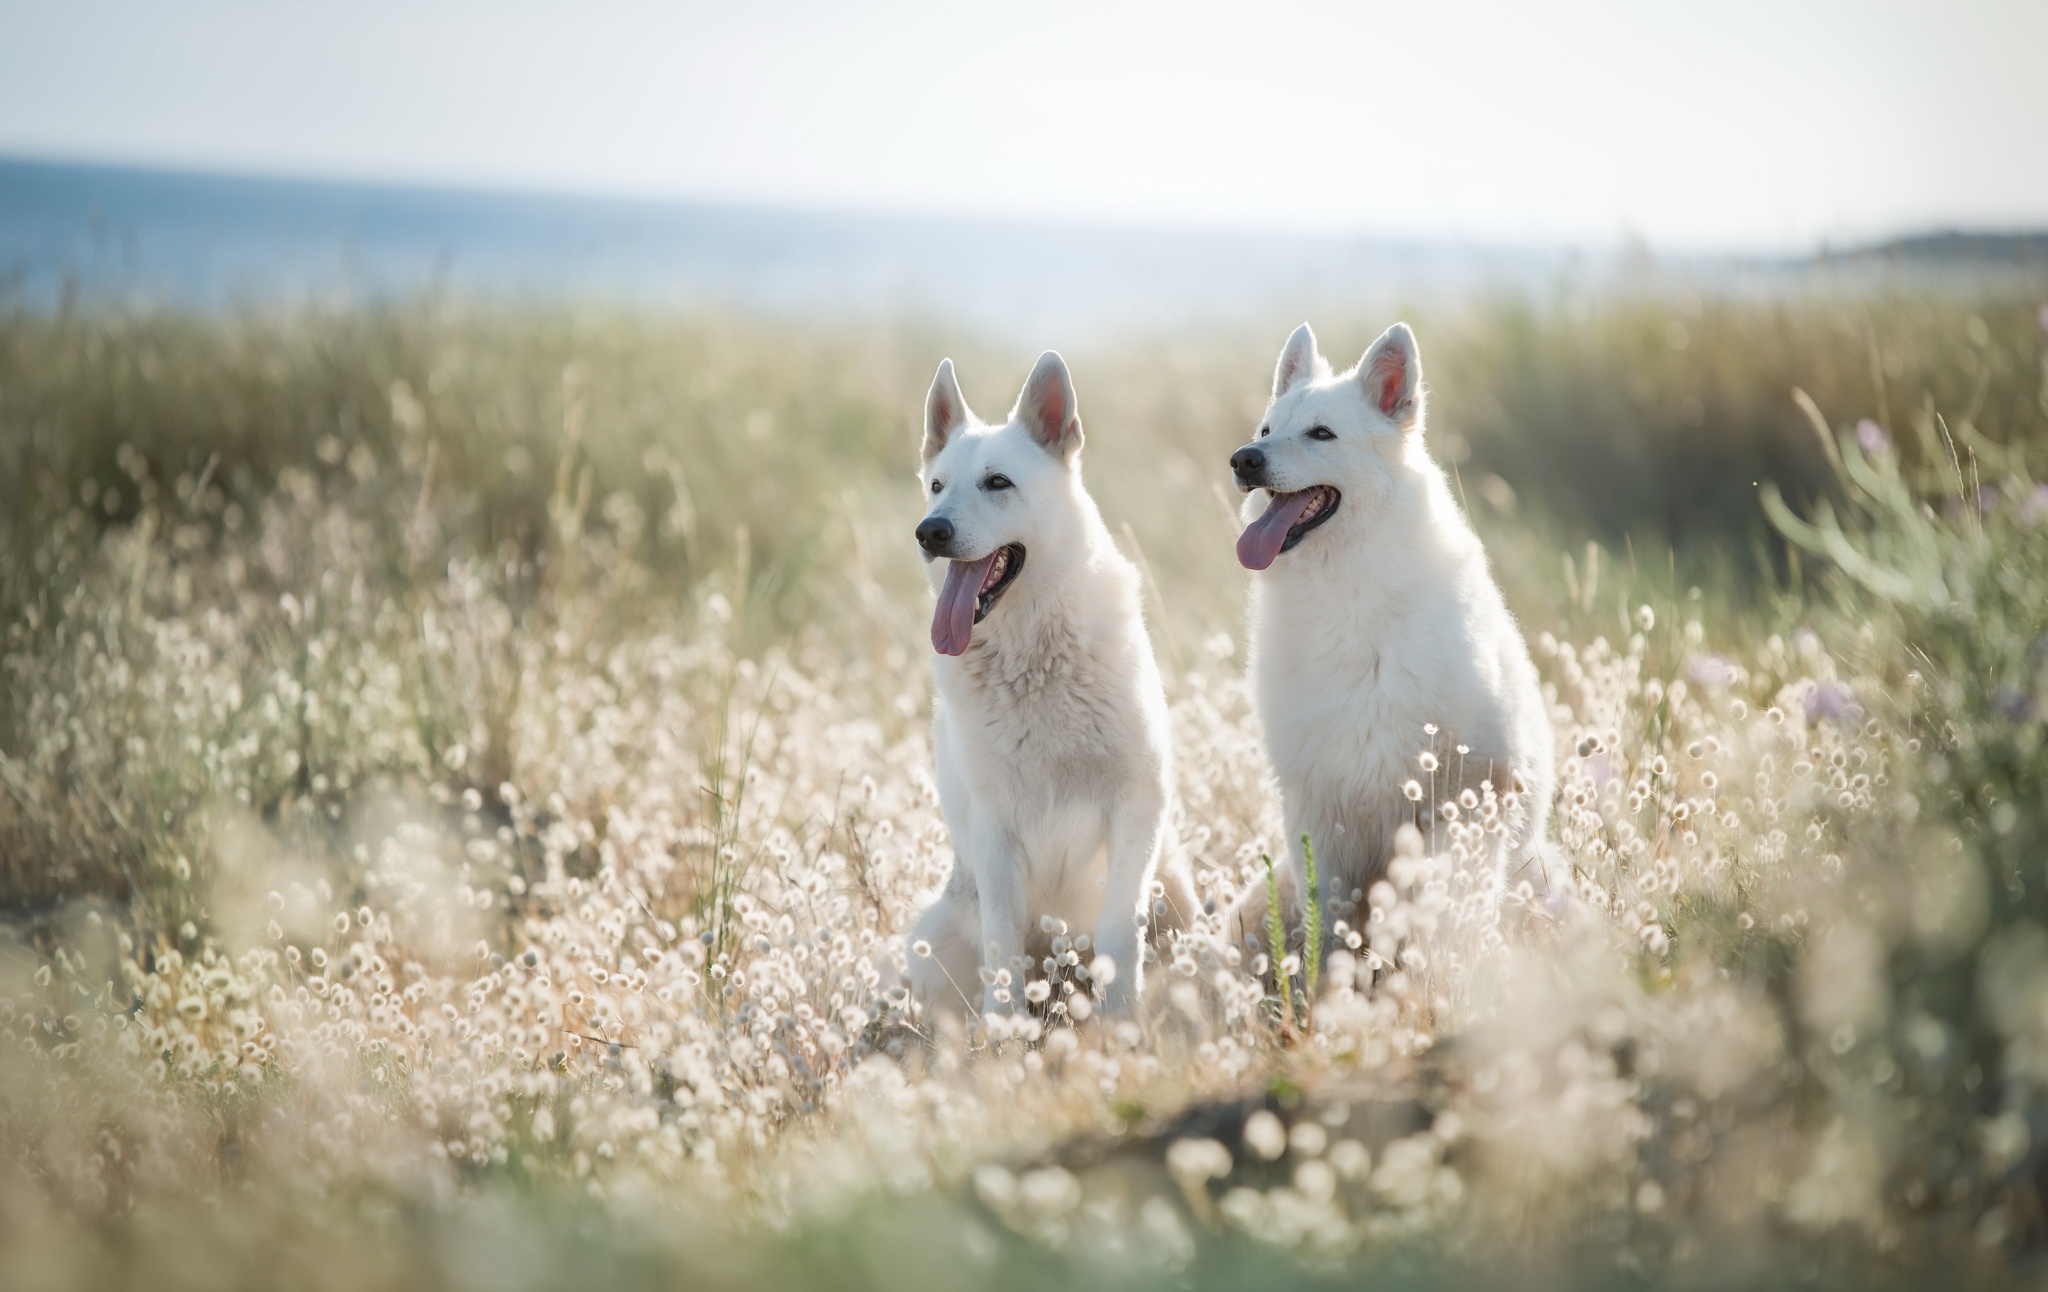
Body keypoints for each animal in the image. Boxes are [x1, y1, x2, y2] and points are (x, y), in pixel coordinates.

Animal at [905, 352, 1196, 1019]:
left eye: (997, 483)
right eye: (937, 486)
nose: (929, 531)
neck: (1035, 661)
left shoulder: (1136, 804)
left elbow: (1118, 934)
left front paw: (1122, 1025)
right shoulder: (994, 828)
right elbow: (1003, 948)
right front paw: (1006, 1034)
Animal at [1228, 323, 1548, 962]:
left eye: (1321, 433)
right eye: (1266, 430)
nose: (1243, 459)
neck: (1346, 594)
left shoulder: (1465, 796)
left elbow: (1450, 914)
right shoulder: (1319, 812)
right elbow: (1329, 930)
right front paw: (1326, 985)